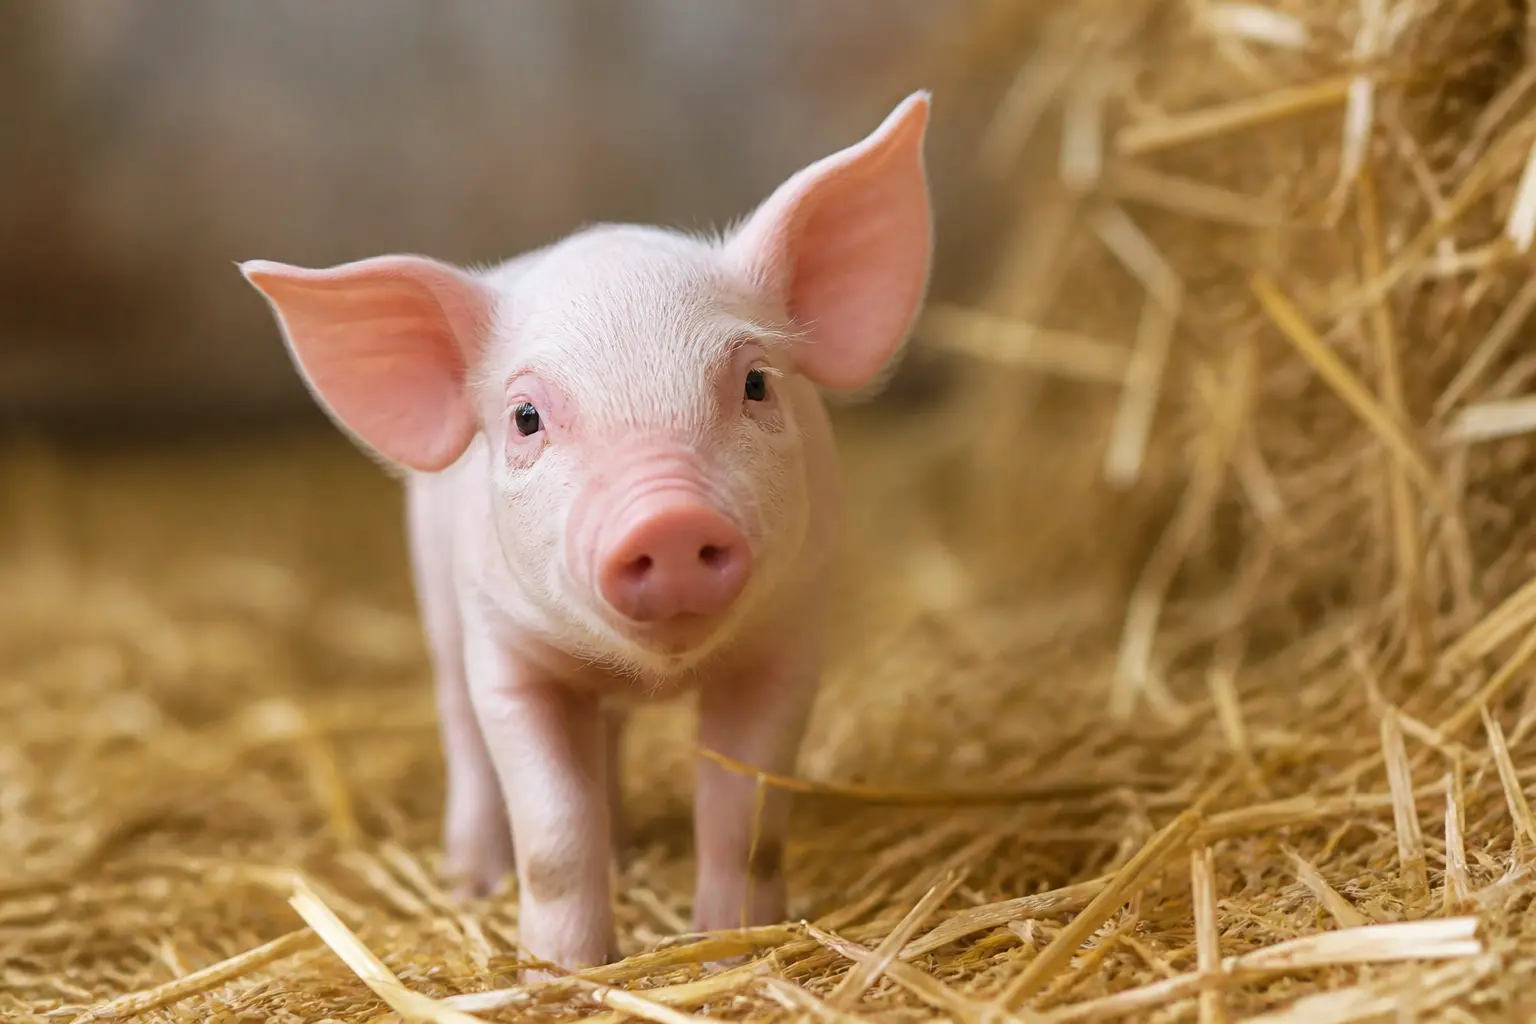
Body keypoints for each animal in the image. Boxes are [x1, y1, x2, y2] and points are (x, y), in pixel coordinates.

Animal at [238, 91, 934, 973]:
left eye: (755, 383)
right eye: (526, 417)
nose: (668, 518)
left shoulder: (788, 644)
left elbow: (742, 824)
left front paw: (729, 954)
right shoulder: (505, 655)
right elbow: (554, 834)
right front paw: (564, 972)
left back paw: (626, 849)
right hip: (436, 600)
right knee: (461, 730)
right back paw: (473, 880)